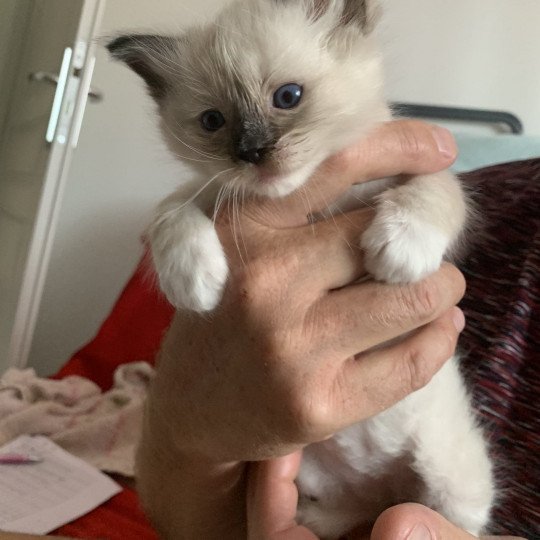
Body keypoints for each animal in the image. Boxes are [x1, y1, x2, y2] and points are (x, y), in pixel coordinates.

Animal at [107, 0, 496, 536]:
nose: (252, 153)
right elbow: (171, 211)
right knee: (357, 509)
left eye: (287, 97)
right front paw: (195, 284)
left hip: (453, 488)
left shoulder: (420, 177)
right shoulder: (209, 195)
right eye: (213, 120)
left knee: (435, 513)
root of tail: (381, 486)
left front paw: (400, 249)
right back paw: (316, 517)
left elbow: (434, 190)